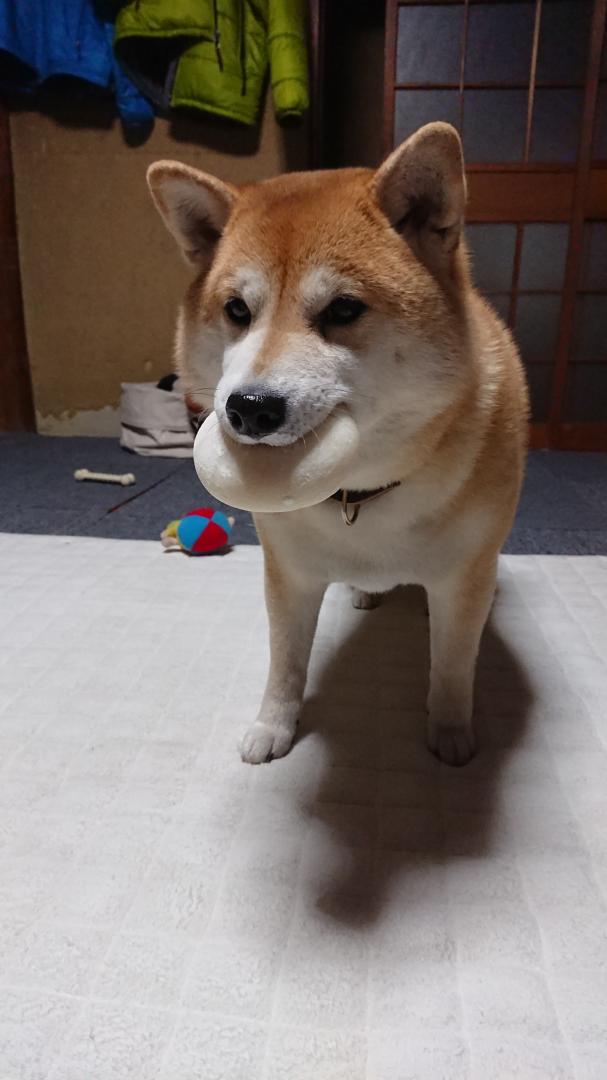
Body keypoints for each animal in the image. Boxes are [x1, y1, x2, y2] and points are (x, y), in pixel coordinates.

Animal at [145, 124, 524, 768]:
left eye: (343, 309)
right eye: (237, 310)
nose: (249, 407)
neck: (361, 495)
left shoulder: (464, 576)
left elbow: (453, 664)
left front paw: (450, 733)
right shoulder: (289, 573)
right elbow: (285, 663)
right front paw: (272, 726)